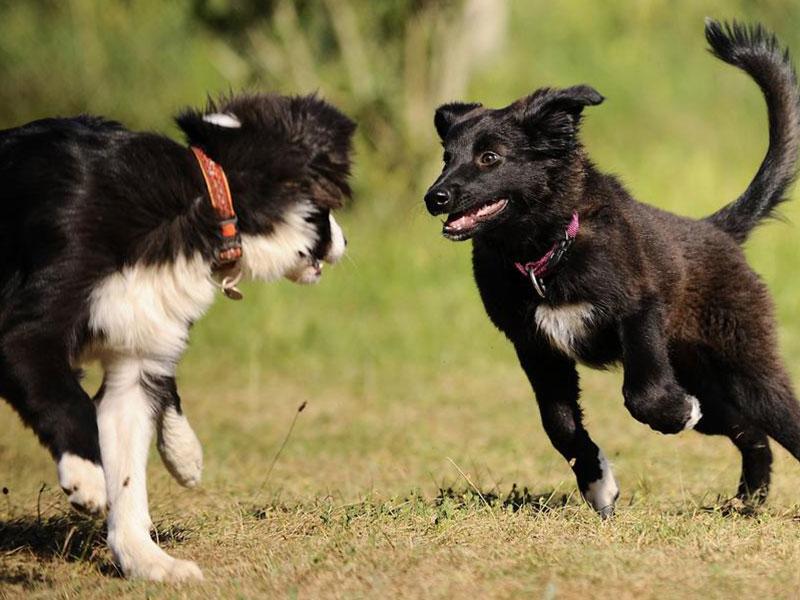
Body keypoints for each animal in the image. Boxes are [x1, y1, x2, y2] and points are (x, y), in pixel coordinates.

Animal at [0, 92, 356, 576]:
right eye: (324, 211)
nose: (346, 242)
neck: (202, 202)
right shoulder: (24, 332)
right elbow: (69, 398)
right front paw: (87, 477)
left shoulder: (135, 360)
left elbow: (127, 472)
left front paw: (148, 562)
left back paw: (184, 455)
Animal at [424, 18, 800, 516]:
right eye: (446, 157)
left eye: (490, 157)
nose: (434, 198)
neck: (546, 251)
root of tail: (717, 229)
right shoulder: (535, 345)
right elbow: (559, 423)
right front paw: (598, 483)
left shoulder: (637, 309)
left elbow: (642, 396)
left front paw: (674, 414)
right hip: (705, 378)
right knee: (751, 432)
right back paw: (748, 500)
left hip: (745, 366)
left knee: (779, 419)